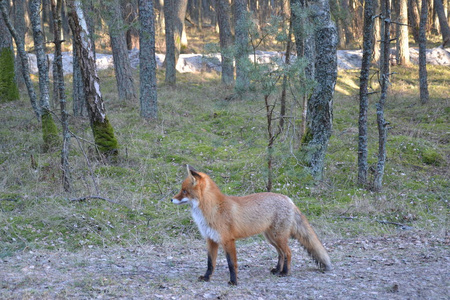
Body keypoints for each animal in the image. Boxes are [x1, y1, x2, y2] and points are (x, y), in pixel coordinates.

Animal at [171, 166, 330, 286]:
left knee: (288, 253)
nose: (171, 199)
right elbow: (210, 263)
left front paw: (233, 282)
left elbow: (231, 264)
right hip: (271, 238)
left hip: (278, 237)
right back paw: (277, 270)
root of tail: (288, 199)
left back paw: (285, 272)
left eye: (184, 191)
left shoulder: (228, 240)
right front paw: (206, 278)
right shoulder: (211, 240)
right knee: (281, 253)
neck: (213, 209)